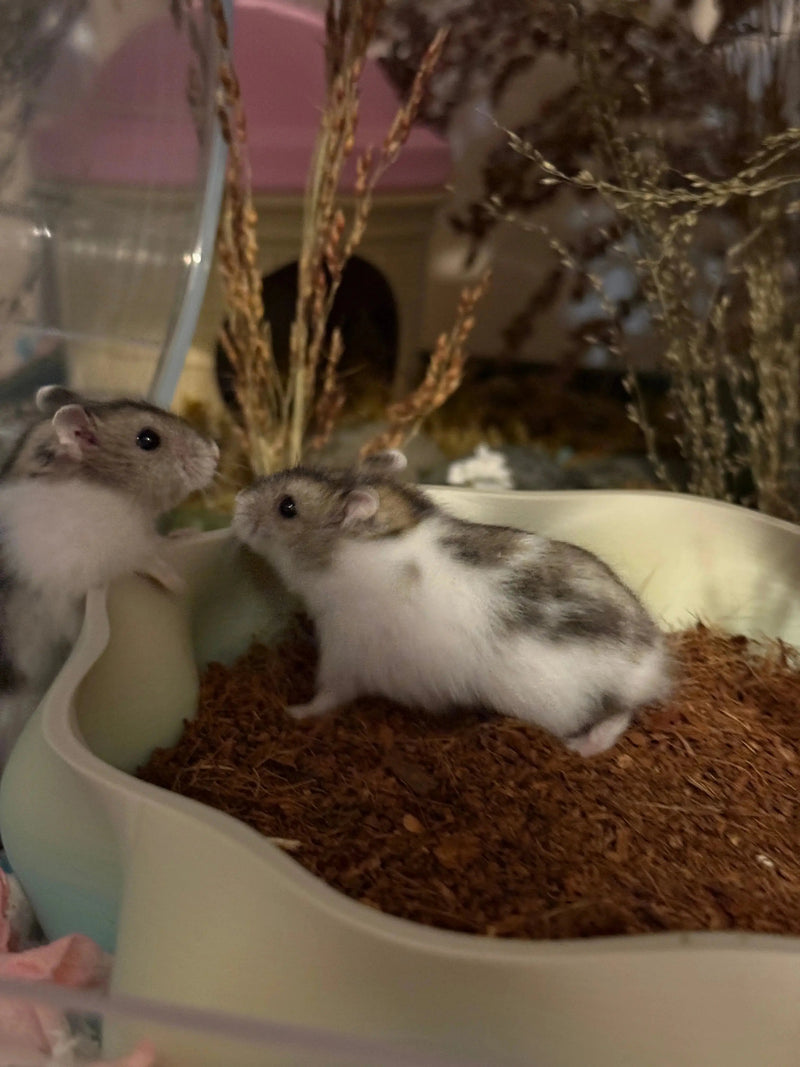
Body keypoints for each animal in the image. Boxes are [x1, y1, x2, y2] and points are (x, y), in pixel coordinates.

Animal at [0, 385, 219, 766]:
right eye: (148, 439)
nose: (217, 453)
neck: (109, 491)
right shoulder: (96, 557)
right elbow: (142, 557)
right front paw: (177, 584)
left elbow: (157, 541)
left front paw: (186, 533)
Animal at [233, 451, 672, 757]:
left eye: (287, 507)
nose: (237, 500)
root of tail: (651, 663)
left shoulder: (343, 658)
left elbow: (324, 698)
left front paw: (291, 712)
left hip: (556, 704)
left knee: (619, 714)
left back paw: (582, 748)